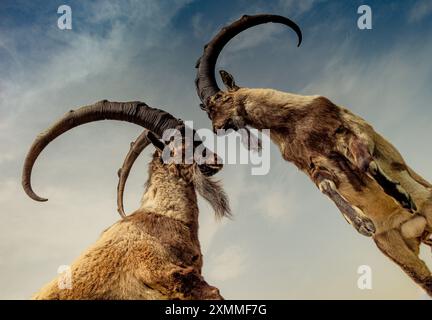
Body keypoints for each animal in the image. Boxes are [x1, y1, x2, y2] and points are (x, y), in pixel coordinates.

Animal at [194, 14, 432, 296]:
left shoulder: (347, 129)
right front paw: (361, 223)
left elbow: (364, 160)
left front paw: (401, 196)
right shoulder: (312, 164)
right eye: (208, 110)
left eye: (221, 97)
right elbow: (325, 185)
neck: (296, 123)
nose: (217, 128)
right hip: (396, 247)